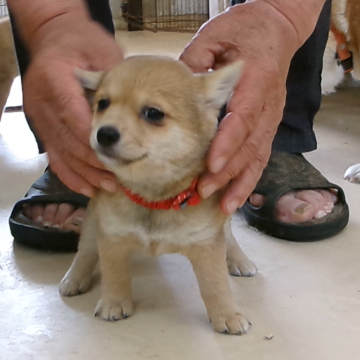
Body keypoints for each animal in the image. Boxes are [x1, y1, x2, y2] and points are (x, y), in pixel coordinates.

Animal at [59, 56, 256, 334]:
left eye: (153, 113)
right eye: (102, 104)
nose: (104, 133)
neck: (152, 198)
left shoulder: (206, 241)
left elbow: (214, 284)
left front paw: (227, 314)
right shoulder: (111, 236)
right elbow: (114, 275)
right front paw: (114, 302)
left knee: (228, 236)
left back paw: (239, 260)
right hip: (92, 223)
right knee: (85, 250)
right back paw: (75, 277)